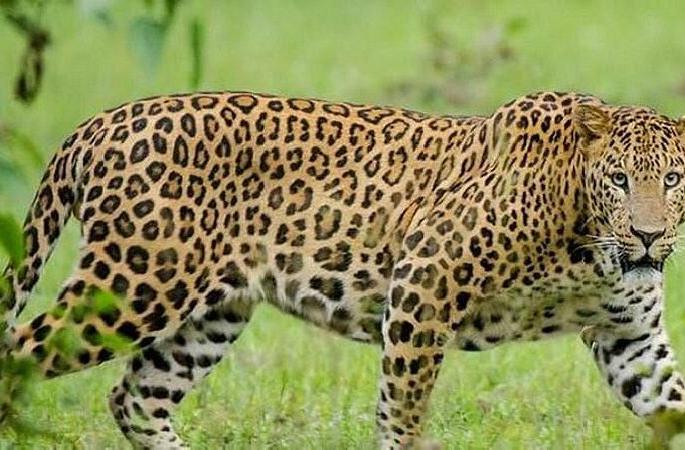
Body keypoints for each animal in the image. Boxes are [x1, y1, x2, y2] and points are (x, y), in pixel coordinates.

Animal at [2, 90, 685, 449]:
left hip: (211, 314)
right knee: (19, 354)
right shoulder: (424, 279)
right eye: (620, 180)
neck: (590, 247)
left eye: (673, 179)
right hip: (131, 288)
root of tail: (100, 122)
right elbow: (402, 409)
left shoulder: (630, 338)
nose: (649, 236)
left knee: (136, 398)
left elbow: (671, 399)